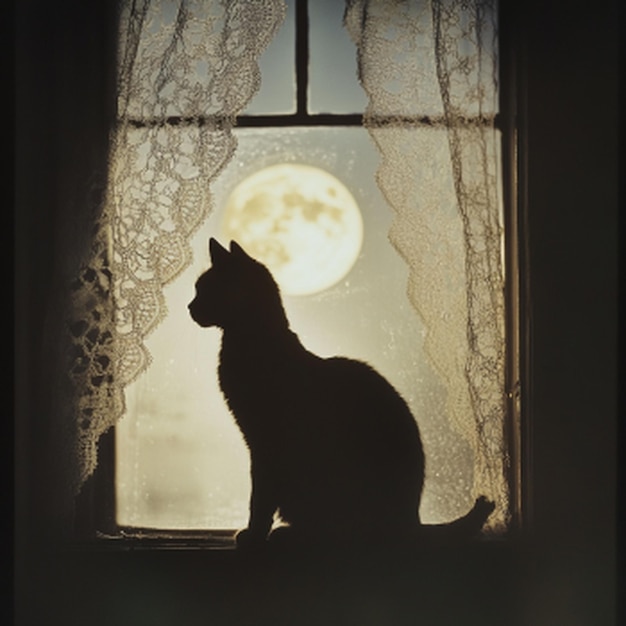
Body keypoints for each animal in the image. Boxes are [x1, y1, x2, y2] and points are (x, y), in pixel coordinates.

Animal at [188, 239, 490, 544]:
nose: (189, 307)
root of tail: (412, 521)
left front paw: (253, 534)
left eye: (204, 289)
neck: (253, 340)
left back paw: (290, 533)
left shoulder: (264, 444)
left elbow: (259, 497)